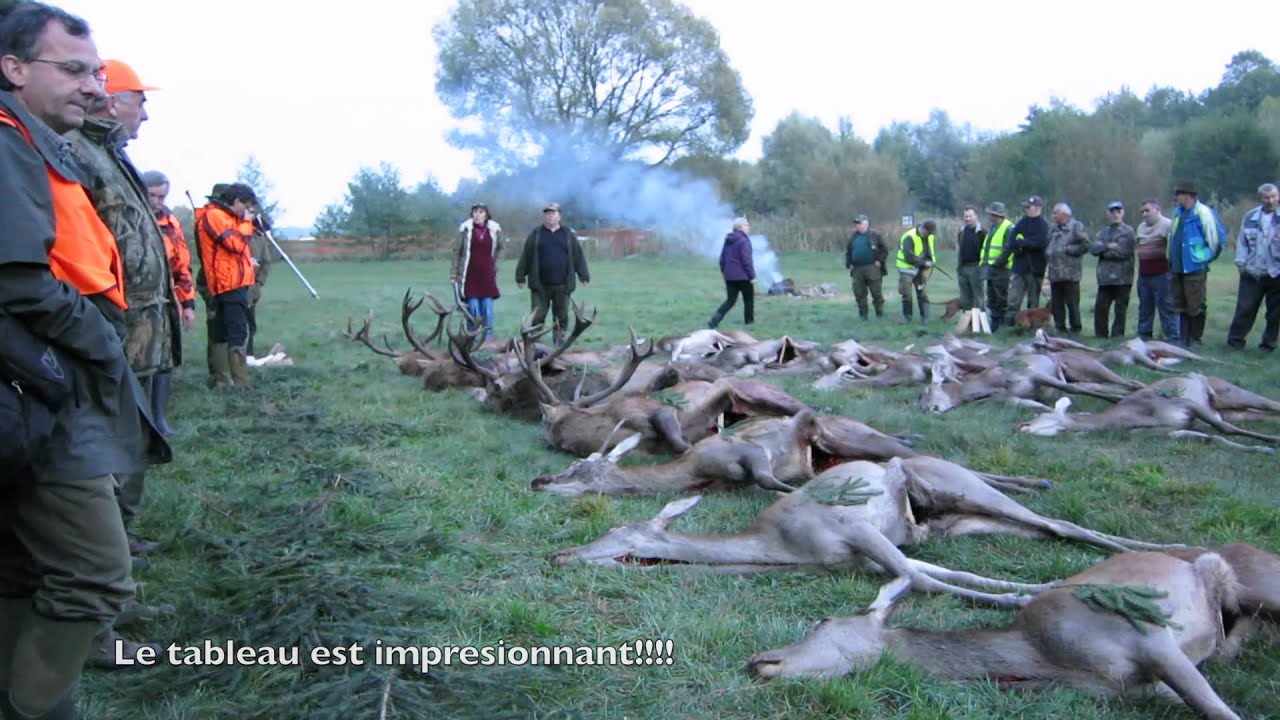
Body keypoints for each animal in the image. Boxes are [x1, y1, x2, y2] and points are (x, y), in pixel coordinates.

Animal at [747, 550, 1245, 720]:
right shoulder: (1142, 689)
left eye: (822, 622)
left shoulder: (1151, 638)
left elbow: (1220, 712)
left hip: (1217, 570)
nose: (759, 660)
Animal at [1019, 373, 1280, 454]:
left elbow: (1224, 430)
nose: (1020, 427)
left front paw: (1272, 443)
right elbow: (1214, 438)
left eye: (1035, 416)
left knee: (1268, 403)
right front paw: (1261, 449)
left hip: (1228, 393)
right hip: (1232, 410)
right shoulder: (1172, 431)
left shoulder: (1185, 403)